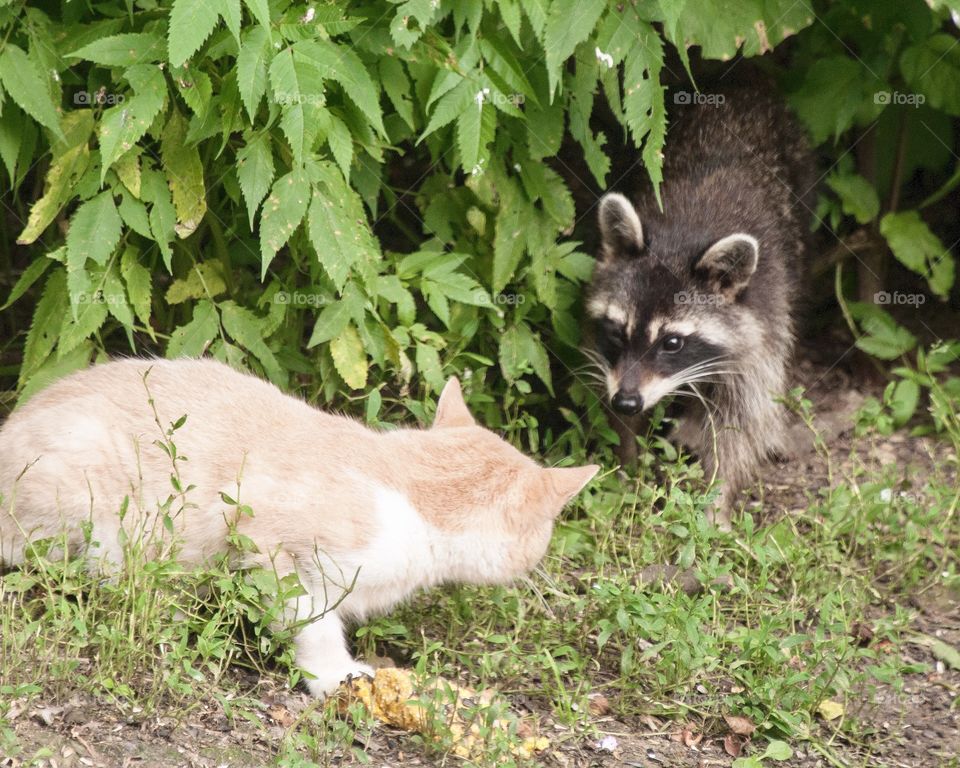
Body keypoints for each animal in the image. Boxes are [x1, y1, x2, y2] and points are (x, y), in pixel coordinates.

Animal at [585, 88, 814, 526]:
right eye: (617, 331)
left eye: (672, 343)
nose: (626, 400)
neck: (680, 238)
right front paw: (627, 463)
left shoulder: (763, 325)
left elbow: (739, 424)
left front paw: (716, 500)